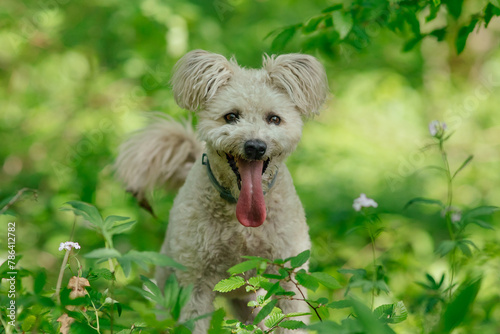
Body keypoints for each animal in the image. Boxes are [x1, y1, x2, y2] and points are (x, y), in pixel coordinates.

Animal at [115, 50, 330, 334]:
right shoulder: (195, 284)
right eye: (231, 116)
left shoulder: (288, 277)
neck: (242, 224)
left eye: (274, 118)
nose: (255, 146)